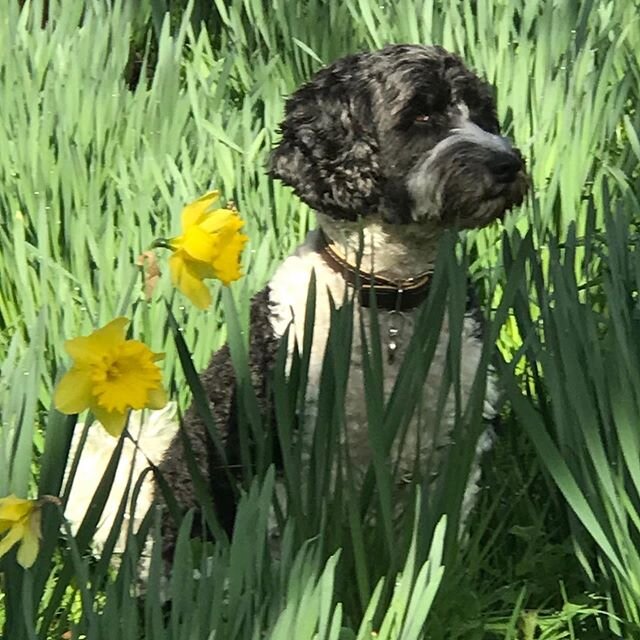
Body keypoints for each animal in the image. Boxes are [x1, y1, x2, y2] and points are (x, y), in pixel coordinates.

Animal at [65, 43, 528, 560]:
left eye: (482, 112)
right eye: (422, 114)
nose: (508, 163)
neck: (386, 303)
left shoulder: (452, 448)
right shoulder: (288, 460)